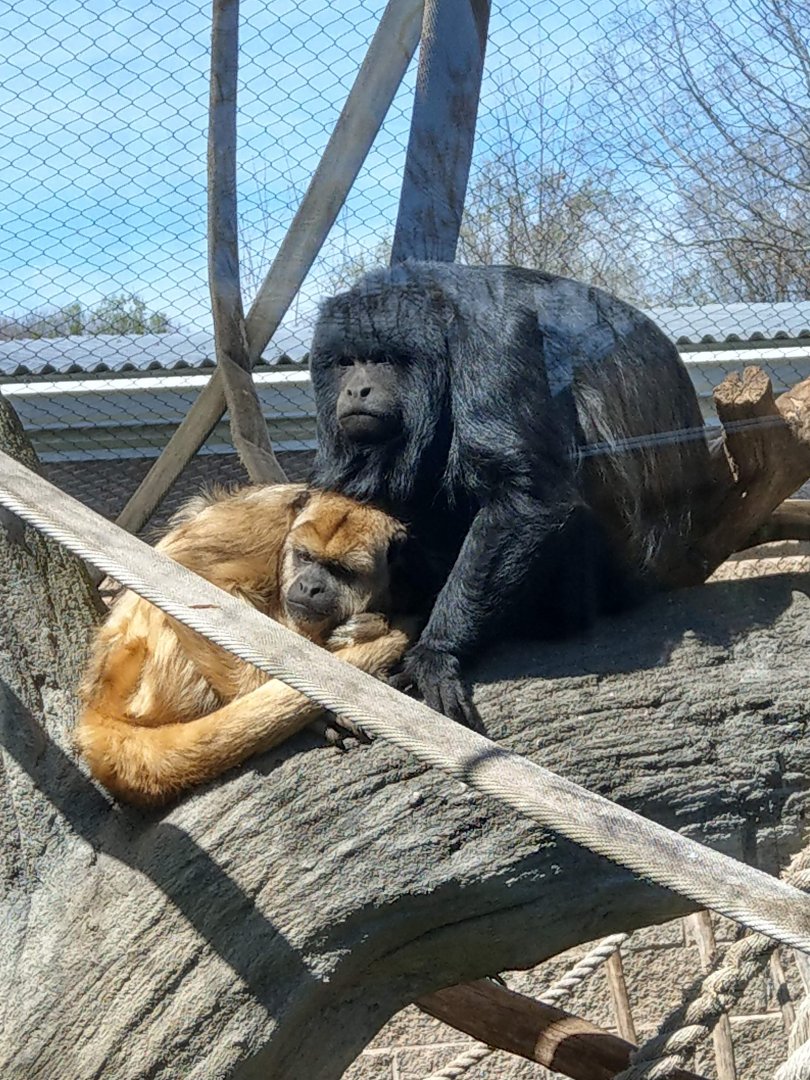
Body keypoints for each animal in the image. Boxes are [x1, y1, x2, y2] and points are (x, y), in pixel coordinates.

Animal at [75, 484, 414, 807]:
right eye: (305, 556)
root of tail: (98, 703)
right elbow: (186, 570)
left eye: (342, 571)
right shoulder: (264, 519)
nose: (309, 586)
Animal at [308, 262, 711, 727]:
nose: (357, 389)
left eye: (383, 360)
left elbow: (528, 498)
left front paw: (435, 651)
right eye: (345, 362)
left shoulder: (492, 341)